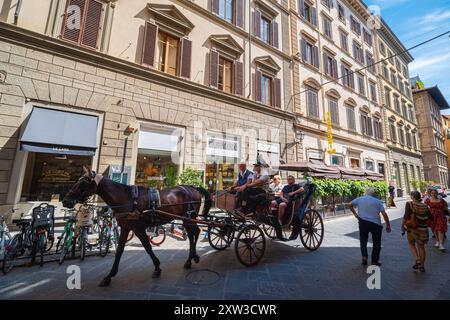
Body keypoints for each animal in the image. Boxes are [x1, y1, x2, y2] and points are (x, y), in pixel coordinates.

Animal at [62, 168, 212, 288]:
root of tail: (193, 187)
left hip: (189, 217)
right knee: (193, 234)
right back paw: (191, 259)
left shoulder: (138, 228)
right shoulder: (125, 228)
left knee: (195, 232)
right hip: (186, 219)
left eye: (84, 182)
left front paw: (157, 267)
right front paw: (109, 276)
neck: (126, 198)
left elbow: (147, 247)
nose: (65, 201)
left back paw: (192, 258)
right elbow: (120, 250)